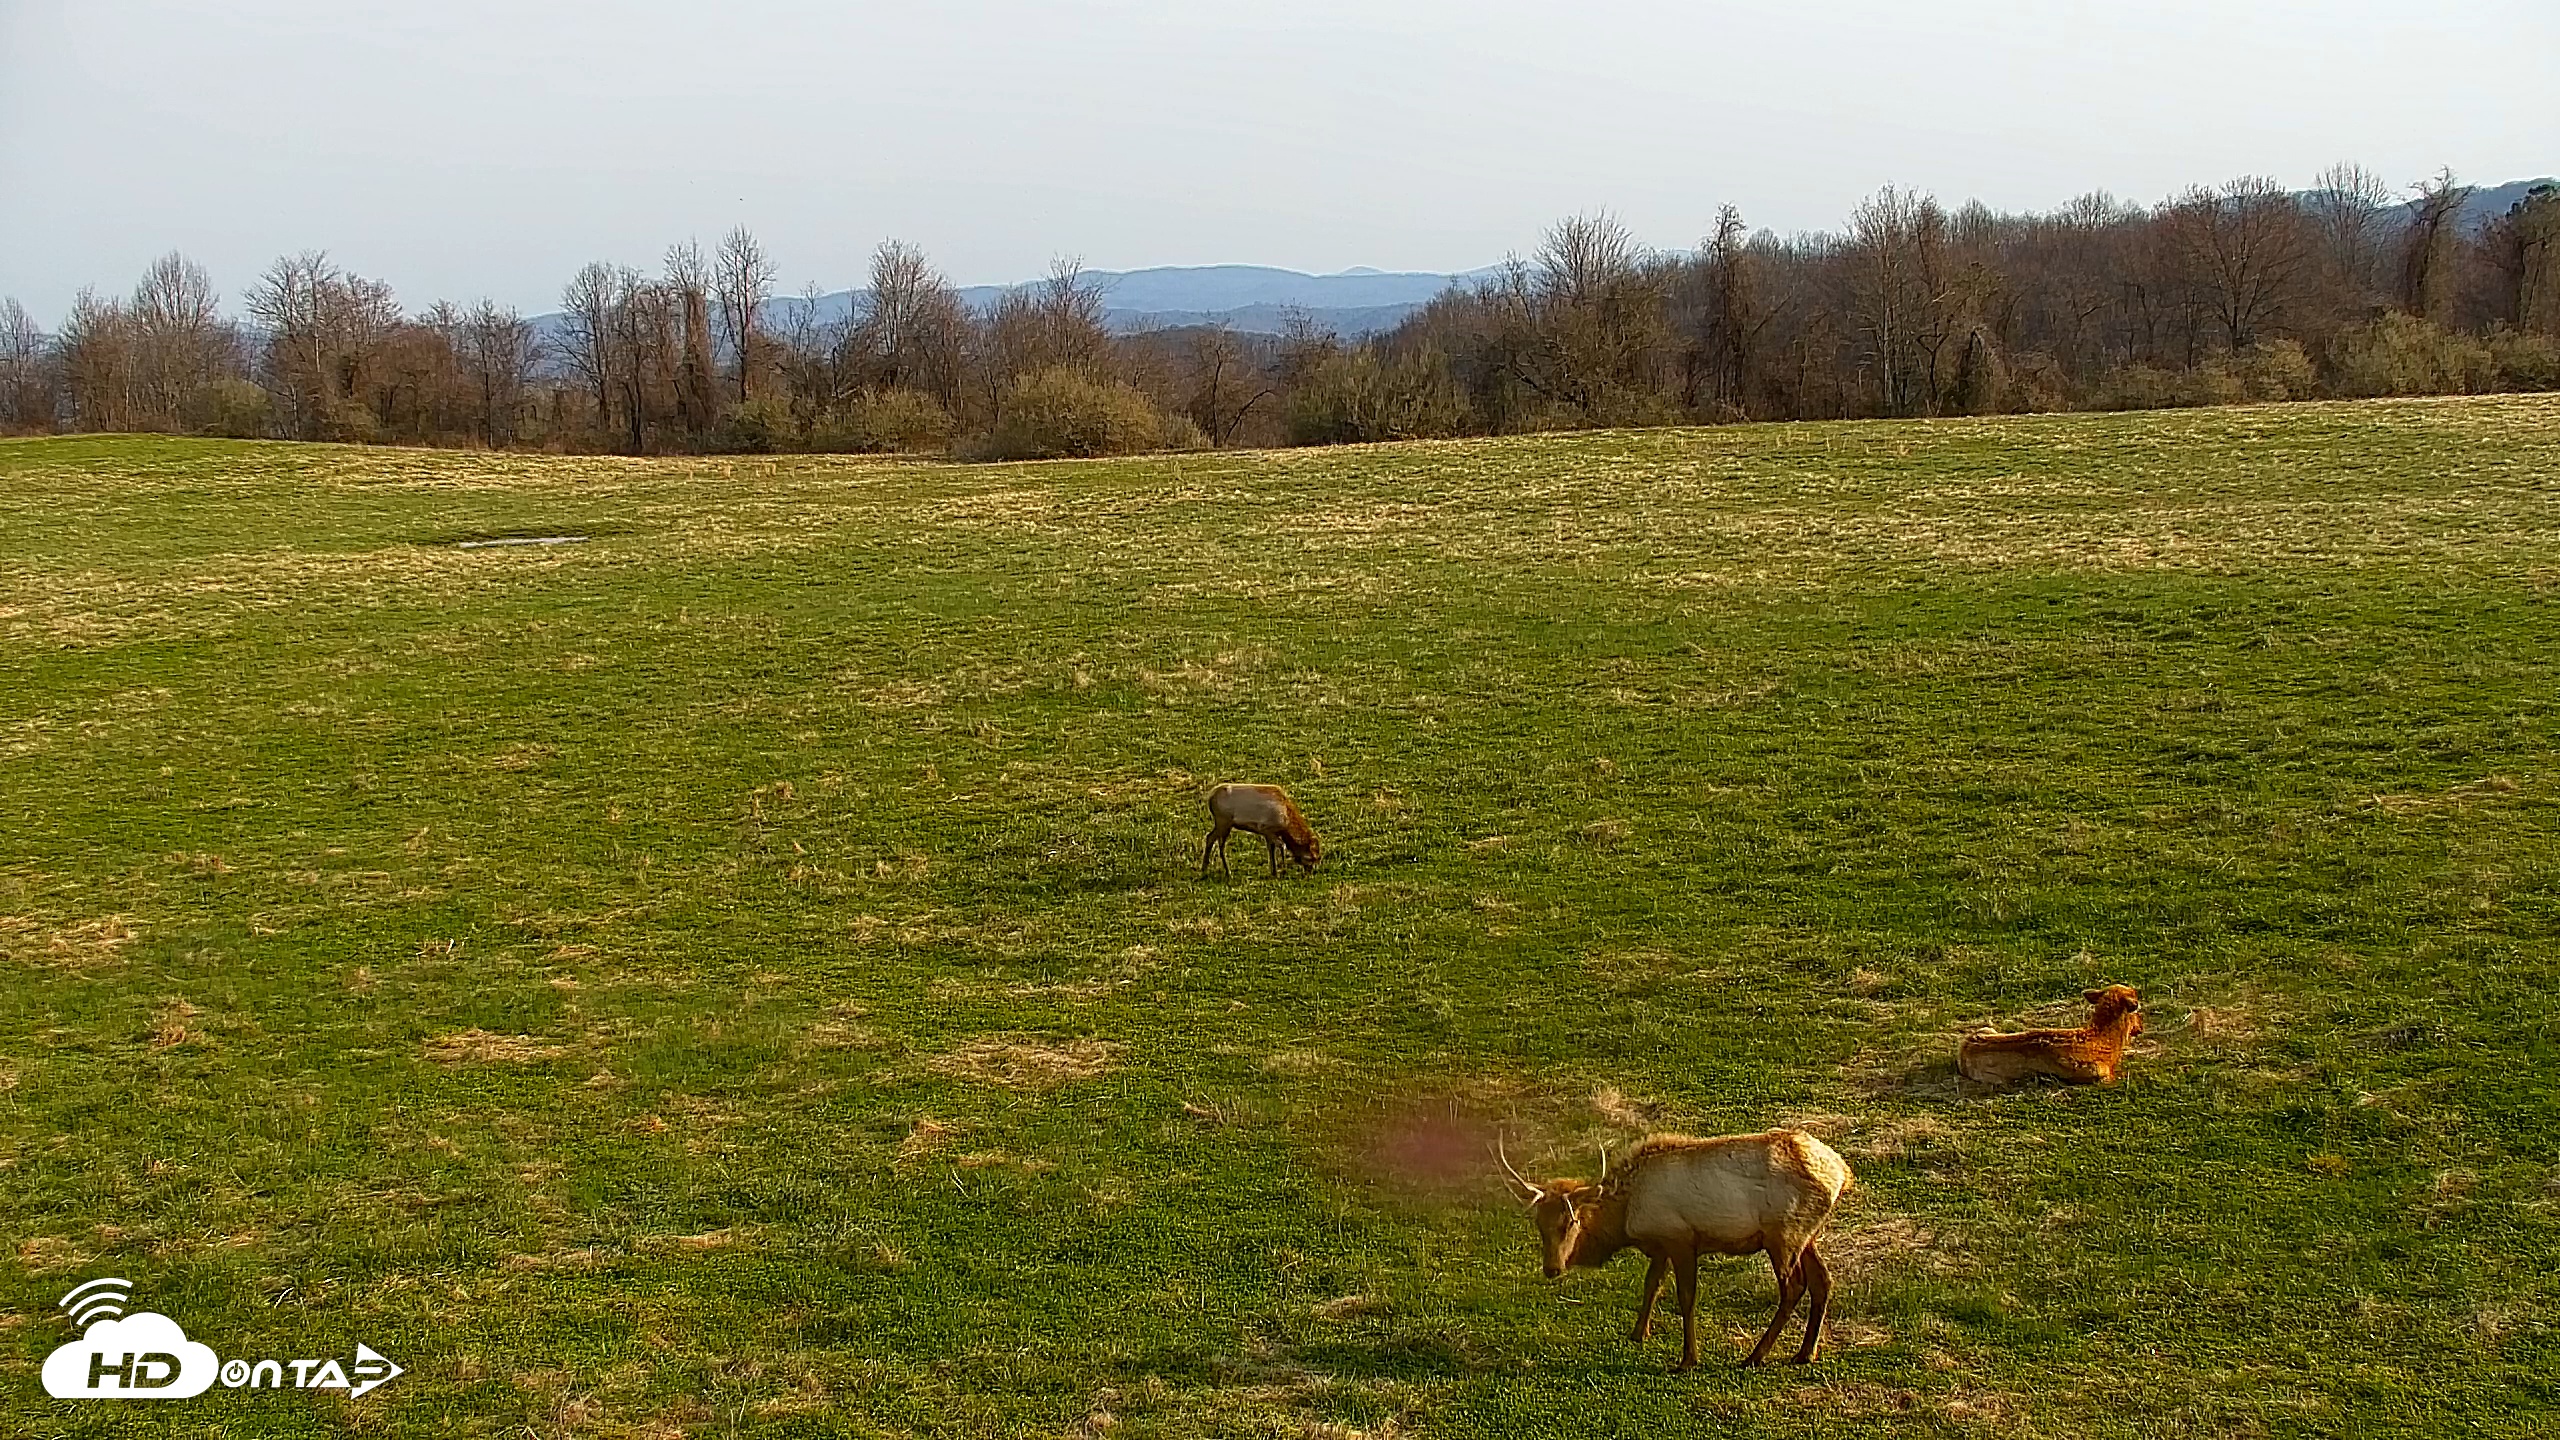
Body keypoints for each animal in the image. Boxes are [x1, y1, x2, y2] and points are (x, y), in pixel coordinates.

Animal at [1500, 1128, 1854, 1370]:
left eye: (1570, 1223)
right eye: (1540, 1225)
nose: (1551, 1268)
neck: (1626, 1217)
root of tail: (1841, 1173)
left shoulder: (1681, 1239)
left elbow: (1686, 1297)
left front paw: (1688, 1359)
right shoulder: (1660, 1246)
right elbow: (1651, 1285)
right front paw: (1638, 1333)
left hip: (1782, 1235)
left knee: (1794, 1287)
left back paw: (1755, 1356)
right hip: (1807, 1235)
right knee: (1823, 1281)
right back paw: (1805, 1352)